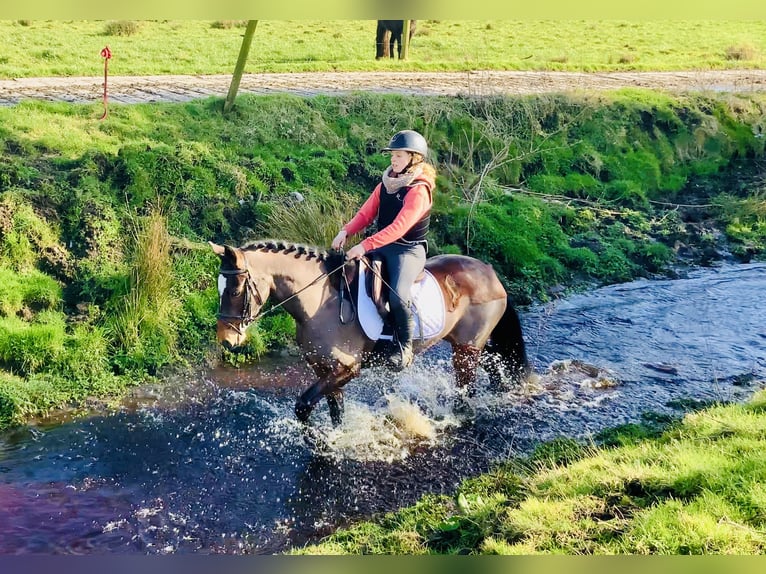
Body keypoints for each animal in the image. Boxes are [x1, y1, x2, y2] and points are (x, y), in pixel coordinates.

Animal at [212, 240, 536, 428]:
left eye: (235, 290)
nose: (227, 340)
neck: (319, 303)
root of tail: (489, 271)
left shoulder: (347, 369)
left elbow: (303, 406)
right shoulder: (324, 369)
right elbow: (334, 411)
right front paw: (332, 440)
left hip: (466, 350)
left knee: (466, 388)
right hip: (469, 344)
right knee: (494, 363)